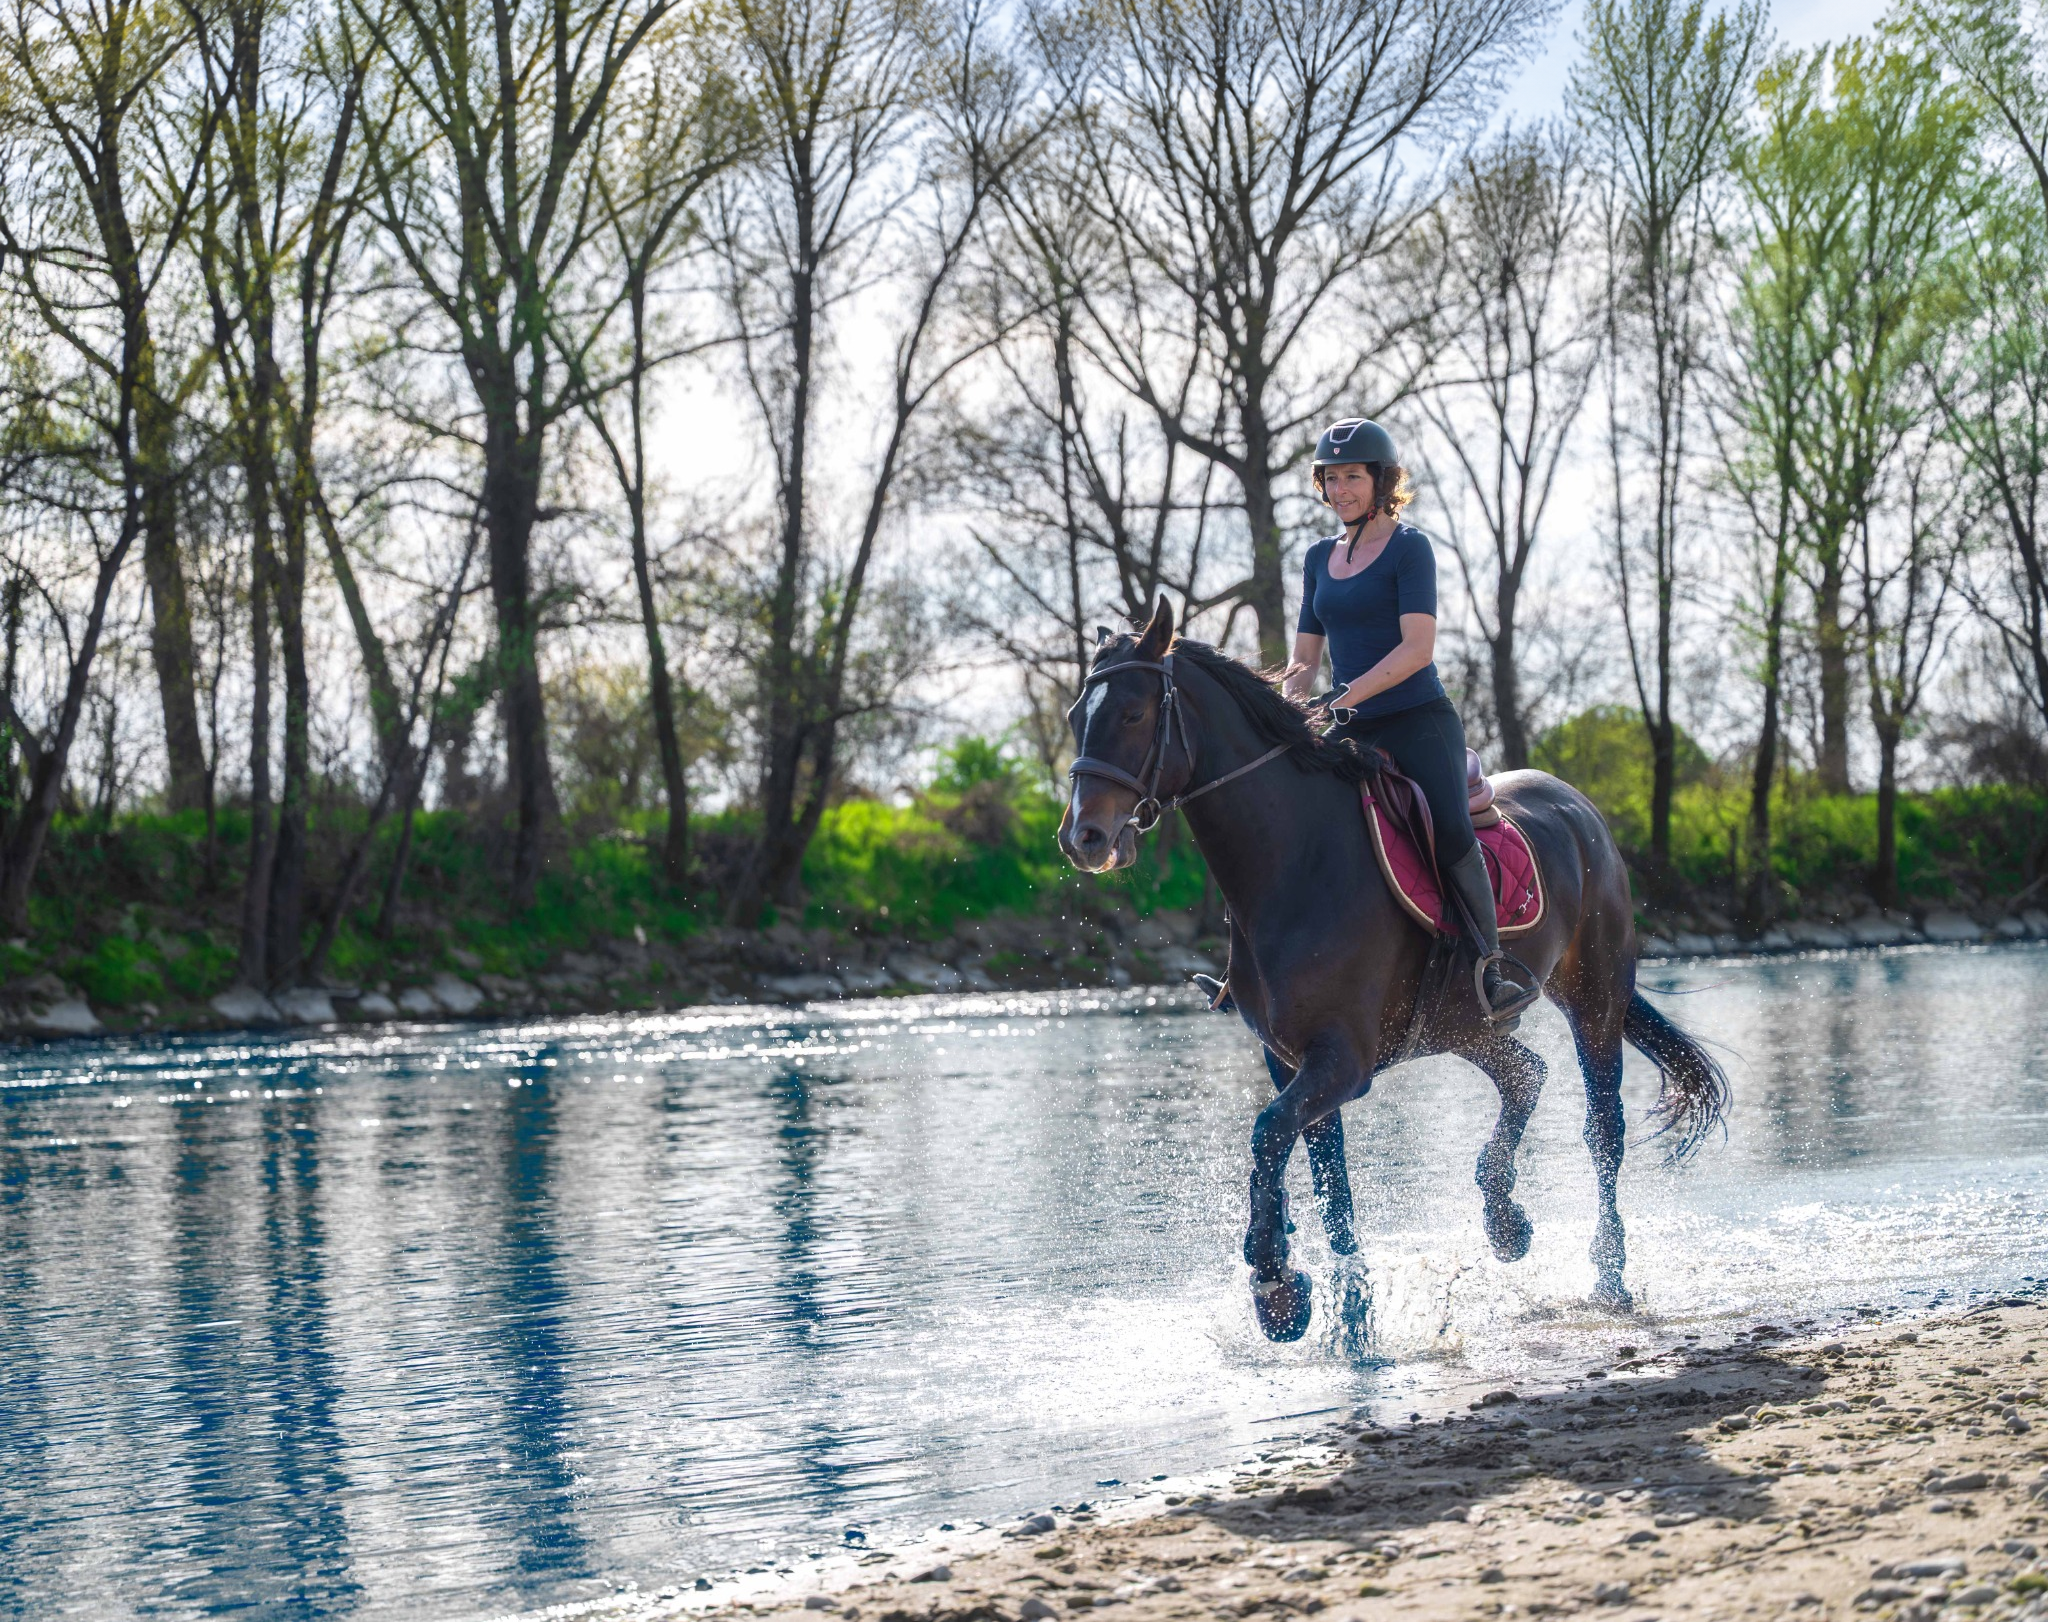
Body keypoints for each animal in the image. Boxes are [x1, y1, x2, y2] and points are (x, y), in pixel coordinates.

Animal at [1056, 599, 1727, 1341]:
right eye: (1075, 716)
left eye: (1133, 714)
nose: (1082, 838)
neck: (1294, 863)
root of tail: (1579, 807)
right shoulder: (1291, 1061)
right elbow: (1327, 1186)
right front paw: (1339, 1315)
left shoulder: (1341, 1062)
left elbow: (1267, 1136)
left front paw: (1275, 1284)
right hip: (1463, 1025)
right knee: (1525, 1073)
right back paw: (1505, 1220)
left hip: (1594, 996)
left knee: (1603, 1129)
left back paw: (1608, 1274)